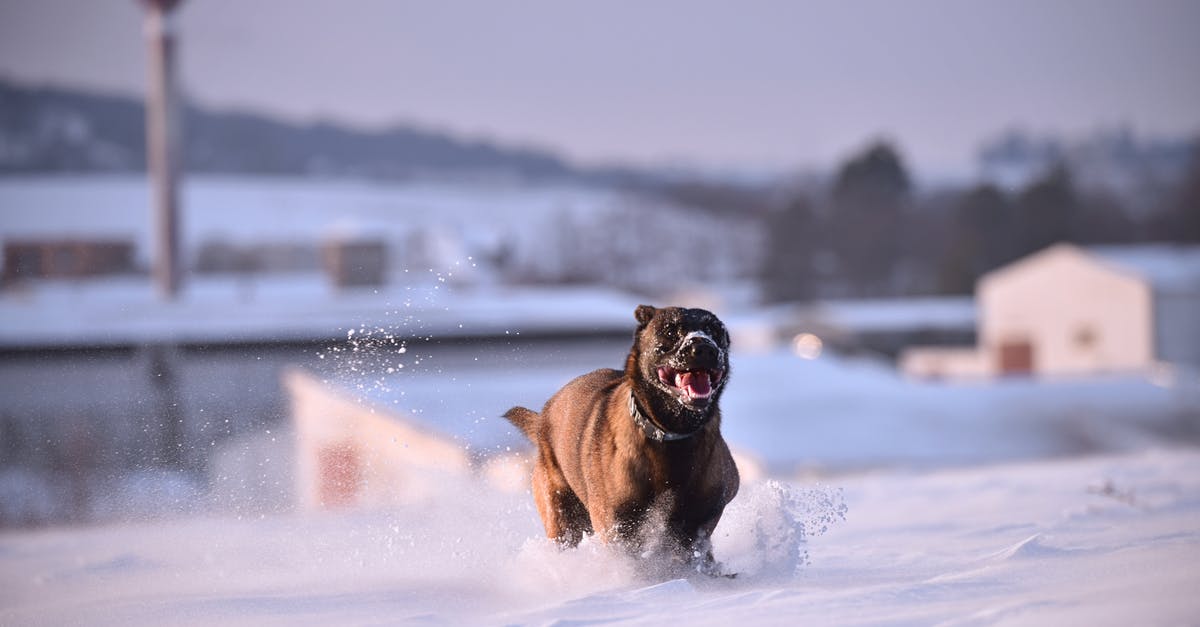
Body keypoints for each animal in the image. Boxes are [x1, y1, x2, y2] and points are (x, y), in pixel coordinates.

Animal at [501, 302, 734, 571]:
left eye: (715, 331)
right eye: (670, 330)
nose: (704, 347)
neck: (670, 435)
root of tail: (543, 419)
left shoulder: (702, 514)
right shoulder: (617, 524)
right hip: (562, 516)